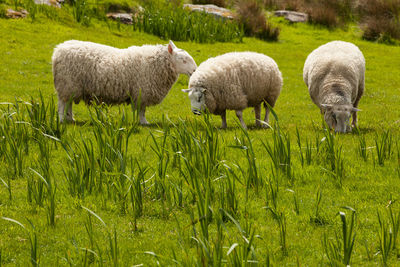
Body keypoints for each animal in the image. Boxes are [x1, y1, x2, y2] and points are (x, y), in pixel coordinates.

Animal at [52, 39, 197, 124]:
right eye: (183, 60)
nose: (195, 70)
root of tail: (58, 50)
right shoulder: (142, 92)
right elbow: (142, 110)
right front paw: (144, 122)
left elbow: (142, 109)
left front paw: (143, 122)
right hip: (67, 83)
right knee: (62, 103)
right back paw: (62, 119)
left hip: (72, 86)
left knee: (69, 103)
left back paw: (70, 118)